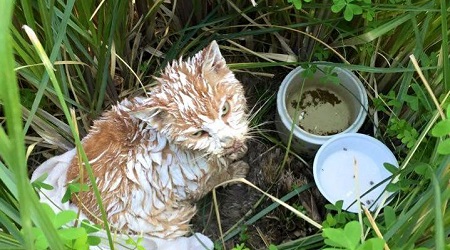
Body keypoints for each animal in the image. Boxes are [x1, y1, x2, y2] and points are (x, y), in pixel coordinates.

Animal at [66, 40, 250, 238]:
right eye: (197, 133)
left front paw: (237, 151)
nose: (231, 143)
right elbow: (216, 179)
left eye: (225, 109)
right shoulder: (187, 184)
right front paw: (235, 171)